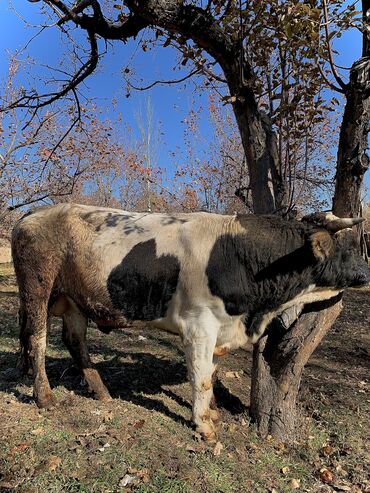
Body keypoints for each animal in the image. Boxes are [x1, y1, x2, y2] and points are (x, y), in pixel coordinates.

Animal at [10, 204, 368, 438]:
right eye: (345, 248)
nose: (366, 272)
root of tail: (32, 214)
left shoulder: (220, 328)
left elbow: (211, 372)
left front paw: (213, 412)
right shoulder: (199, 327)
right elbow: (201, 377)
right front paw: (204, 426)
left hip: (74, 300)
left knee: (75, 341)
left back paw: (101, 392)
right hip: (37, 288)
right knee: (37, 338)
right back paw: (44, 397)